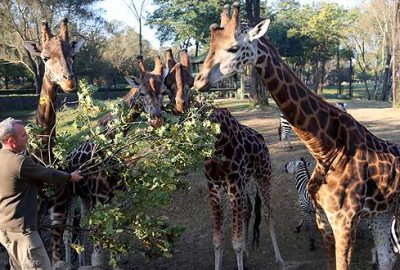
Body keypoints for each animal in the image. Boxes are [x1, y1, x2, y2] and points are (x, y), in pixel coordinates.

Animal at [205, 108, 282, 270]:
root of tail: (261, 138)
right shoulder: (214, 188)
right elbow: (217, 240)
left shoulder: (234, 186)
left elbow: (237, 242)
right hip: (244, 183)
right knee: (248, 208)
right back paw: (247, 255)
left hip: (264, 174)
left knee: (268, 213)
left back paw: (279, 260)